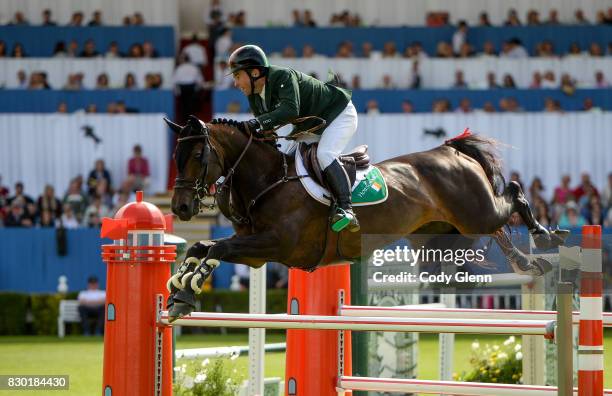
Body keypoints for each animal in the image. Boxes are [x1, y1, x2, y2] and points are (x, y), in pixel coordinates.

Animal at [164, 116, 568, 320]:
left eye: (198, 154)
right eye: (175, 156)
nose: (180, 208)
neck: (268, 180)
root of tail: (451, 151)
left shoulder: (277, 245)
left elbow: (216, 247)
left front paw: (185, 292)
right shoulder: (257, 253)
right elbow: (205, 246)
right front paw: (179, 290)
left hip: (475, 214)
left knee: (512, 194)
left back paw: (545, 237)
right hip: (442, 232)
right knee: (496, 230)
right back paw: (525, 261)